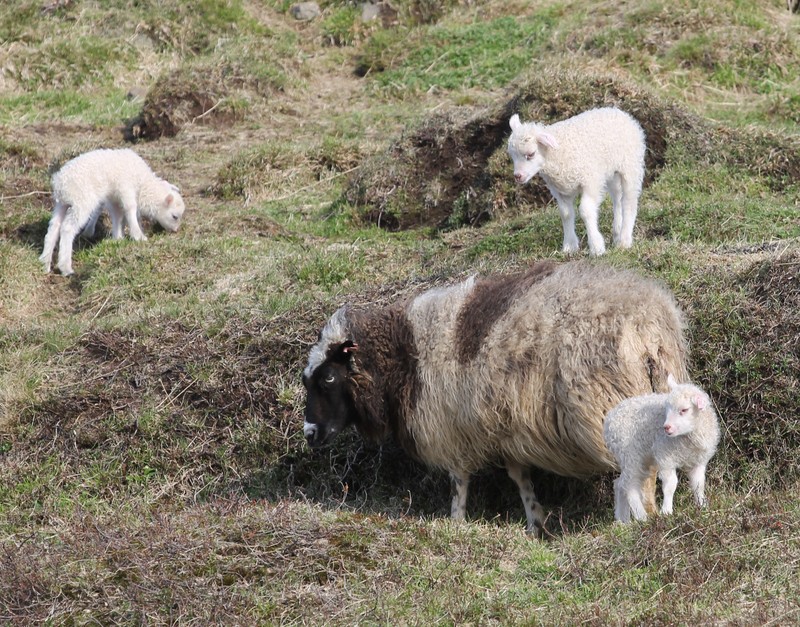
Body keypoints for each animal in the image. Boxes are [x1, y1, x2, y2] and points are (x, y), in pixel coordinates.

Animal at [41, 148, 184, 276]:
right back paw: (65, 267)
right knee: (67, 228)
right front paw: (138, 236)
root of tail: (59, 183)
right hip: (81, 202)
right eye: (175, 216)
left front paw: (118, 239)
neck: (142, 184)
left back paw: (45, 263)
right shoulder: (125, 187)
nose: (175, 231)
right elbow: (130, 208)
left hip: (62, 204)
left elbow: (118, 217)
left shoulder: (114, 198)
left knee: (54, 227)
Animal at [300, 260, 688, 536]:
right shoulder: (504, 430)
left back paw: (644, 516)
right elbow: (520, 478)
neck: (400, 356)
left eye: (328, 377)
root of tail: (648, 332)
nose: (309, 433)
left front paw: (456, 523)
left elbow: (458, 481)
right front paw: (536, 524)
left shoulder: (451, 429)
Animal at [510, 108, 648, 258]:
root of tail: (619, 112)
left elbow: (586, 211)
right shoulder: (560, 190)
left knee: (629, 201)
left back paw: (624, 240)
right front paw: (569, 246)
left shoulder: (591, 181)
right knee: (617, 197)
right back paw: (617, 231)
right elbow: (565, 214)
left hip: (631, 165)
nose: (518, 176)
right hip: (612, 172)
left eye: (531, 154)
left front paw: (596, 247)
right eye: (512, 155)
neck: (557, 154)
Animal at [604, 372, 720, 524]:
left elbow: (698, 484)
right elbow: (670, 484)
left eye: (684, 410)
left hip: (634, 458)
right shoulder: (665, 456)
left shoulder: (698, 461)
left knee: (619, 484)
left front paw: (703, 506)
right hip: (630, 454)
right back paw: (642, 517)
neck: (687, 438)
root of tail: (608, 422)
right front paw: (666, 511)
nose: (666, 427)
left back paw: (623, 520)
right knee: (628, 485)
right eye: (666, 408)